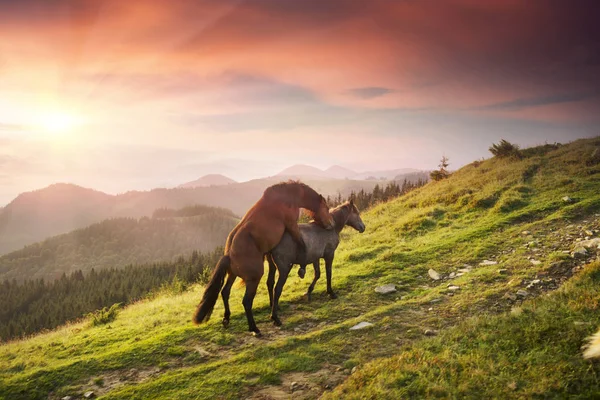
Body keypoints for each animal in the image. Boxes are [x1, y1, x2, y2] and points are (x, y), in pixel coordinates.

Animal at [193, 180, 336, 334]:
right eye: (326, 207)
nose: (332, 224)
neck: (288, 197)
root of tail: (229, 255)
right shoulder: (292, 225)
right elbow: (301, 244)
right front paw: (302, 268)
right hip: (254, 279)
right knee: (246, 301)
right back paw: (255, 328)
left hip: (232, 275)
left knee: (225, 292)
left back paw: (227, 318)